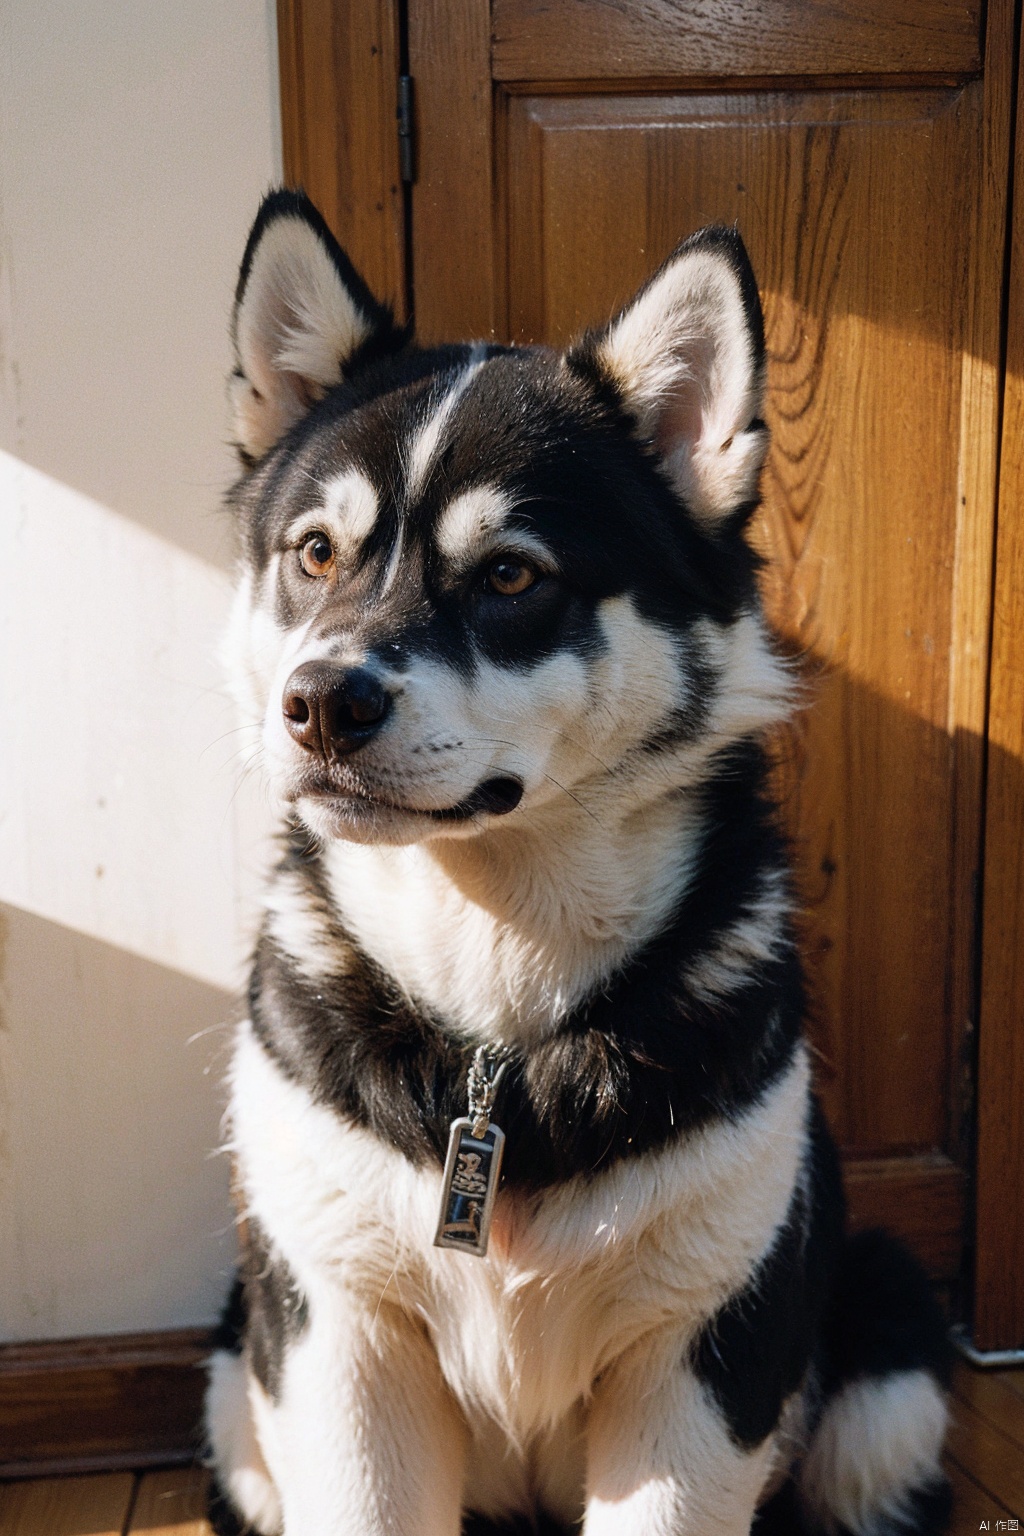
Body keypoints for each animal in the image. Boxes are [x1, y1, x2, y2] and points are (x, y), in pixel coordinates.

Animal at [208, 192, 951, 1536]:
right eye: (315, 553)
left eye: (511, 573)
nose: (320, 704)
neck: (497, 1035)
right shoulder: (339, 1340)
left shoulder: (701, 1360)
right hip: (240, 1395)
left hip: (889, 1361)